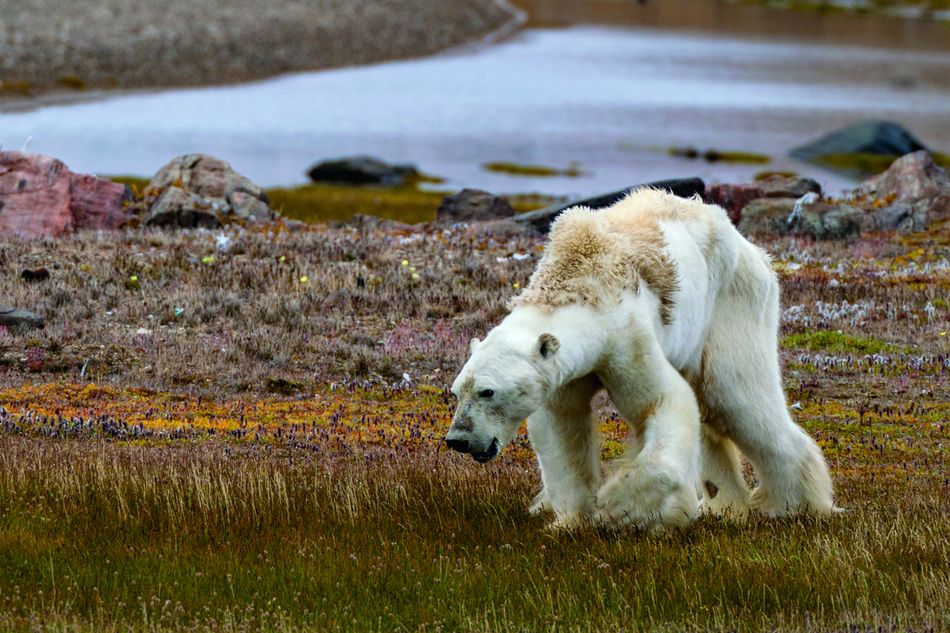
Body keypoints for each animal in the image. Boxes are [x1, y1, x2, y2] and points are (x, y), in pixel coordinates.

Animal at [445, 188, 836, 530]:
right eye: (457, 391)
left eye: (488, 392)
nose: (458, 439)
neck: (578, 282)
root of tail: (753, 250)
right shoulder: (563, 372)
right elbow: (561, 427)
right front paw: (570, 521)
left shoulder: (626, 337)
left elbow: (662, 402)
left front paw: (620, 508)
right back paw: (725, 505)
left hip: (731, 303)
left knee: (737, 397)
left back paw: (791, 505)